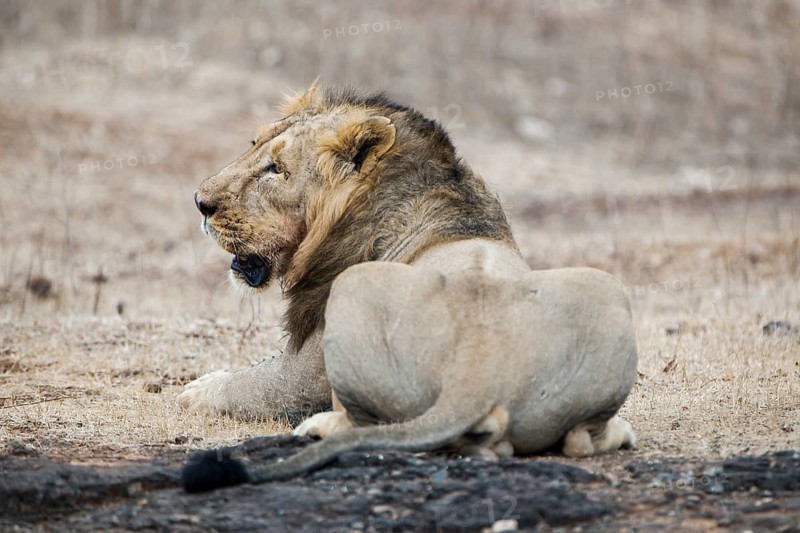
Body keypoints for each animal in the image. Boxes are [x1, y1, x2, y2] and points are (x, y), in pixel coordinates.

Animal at [179, 84, 637, 492]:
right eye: (253, 145)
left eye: (276, 169)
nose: (200, 202)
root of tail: (477, 370)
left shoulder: (309, 368)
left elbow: (255, 382)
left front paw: (198, 390)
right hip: (604, 290)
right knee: (575, 441)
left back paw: (318, 427)